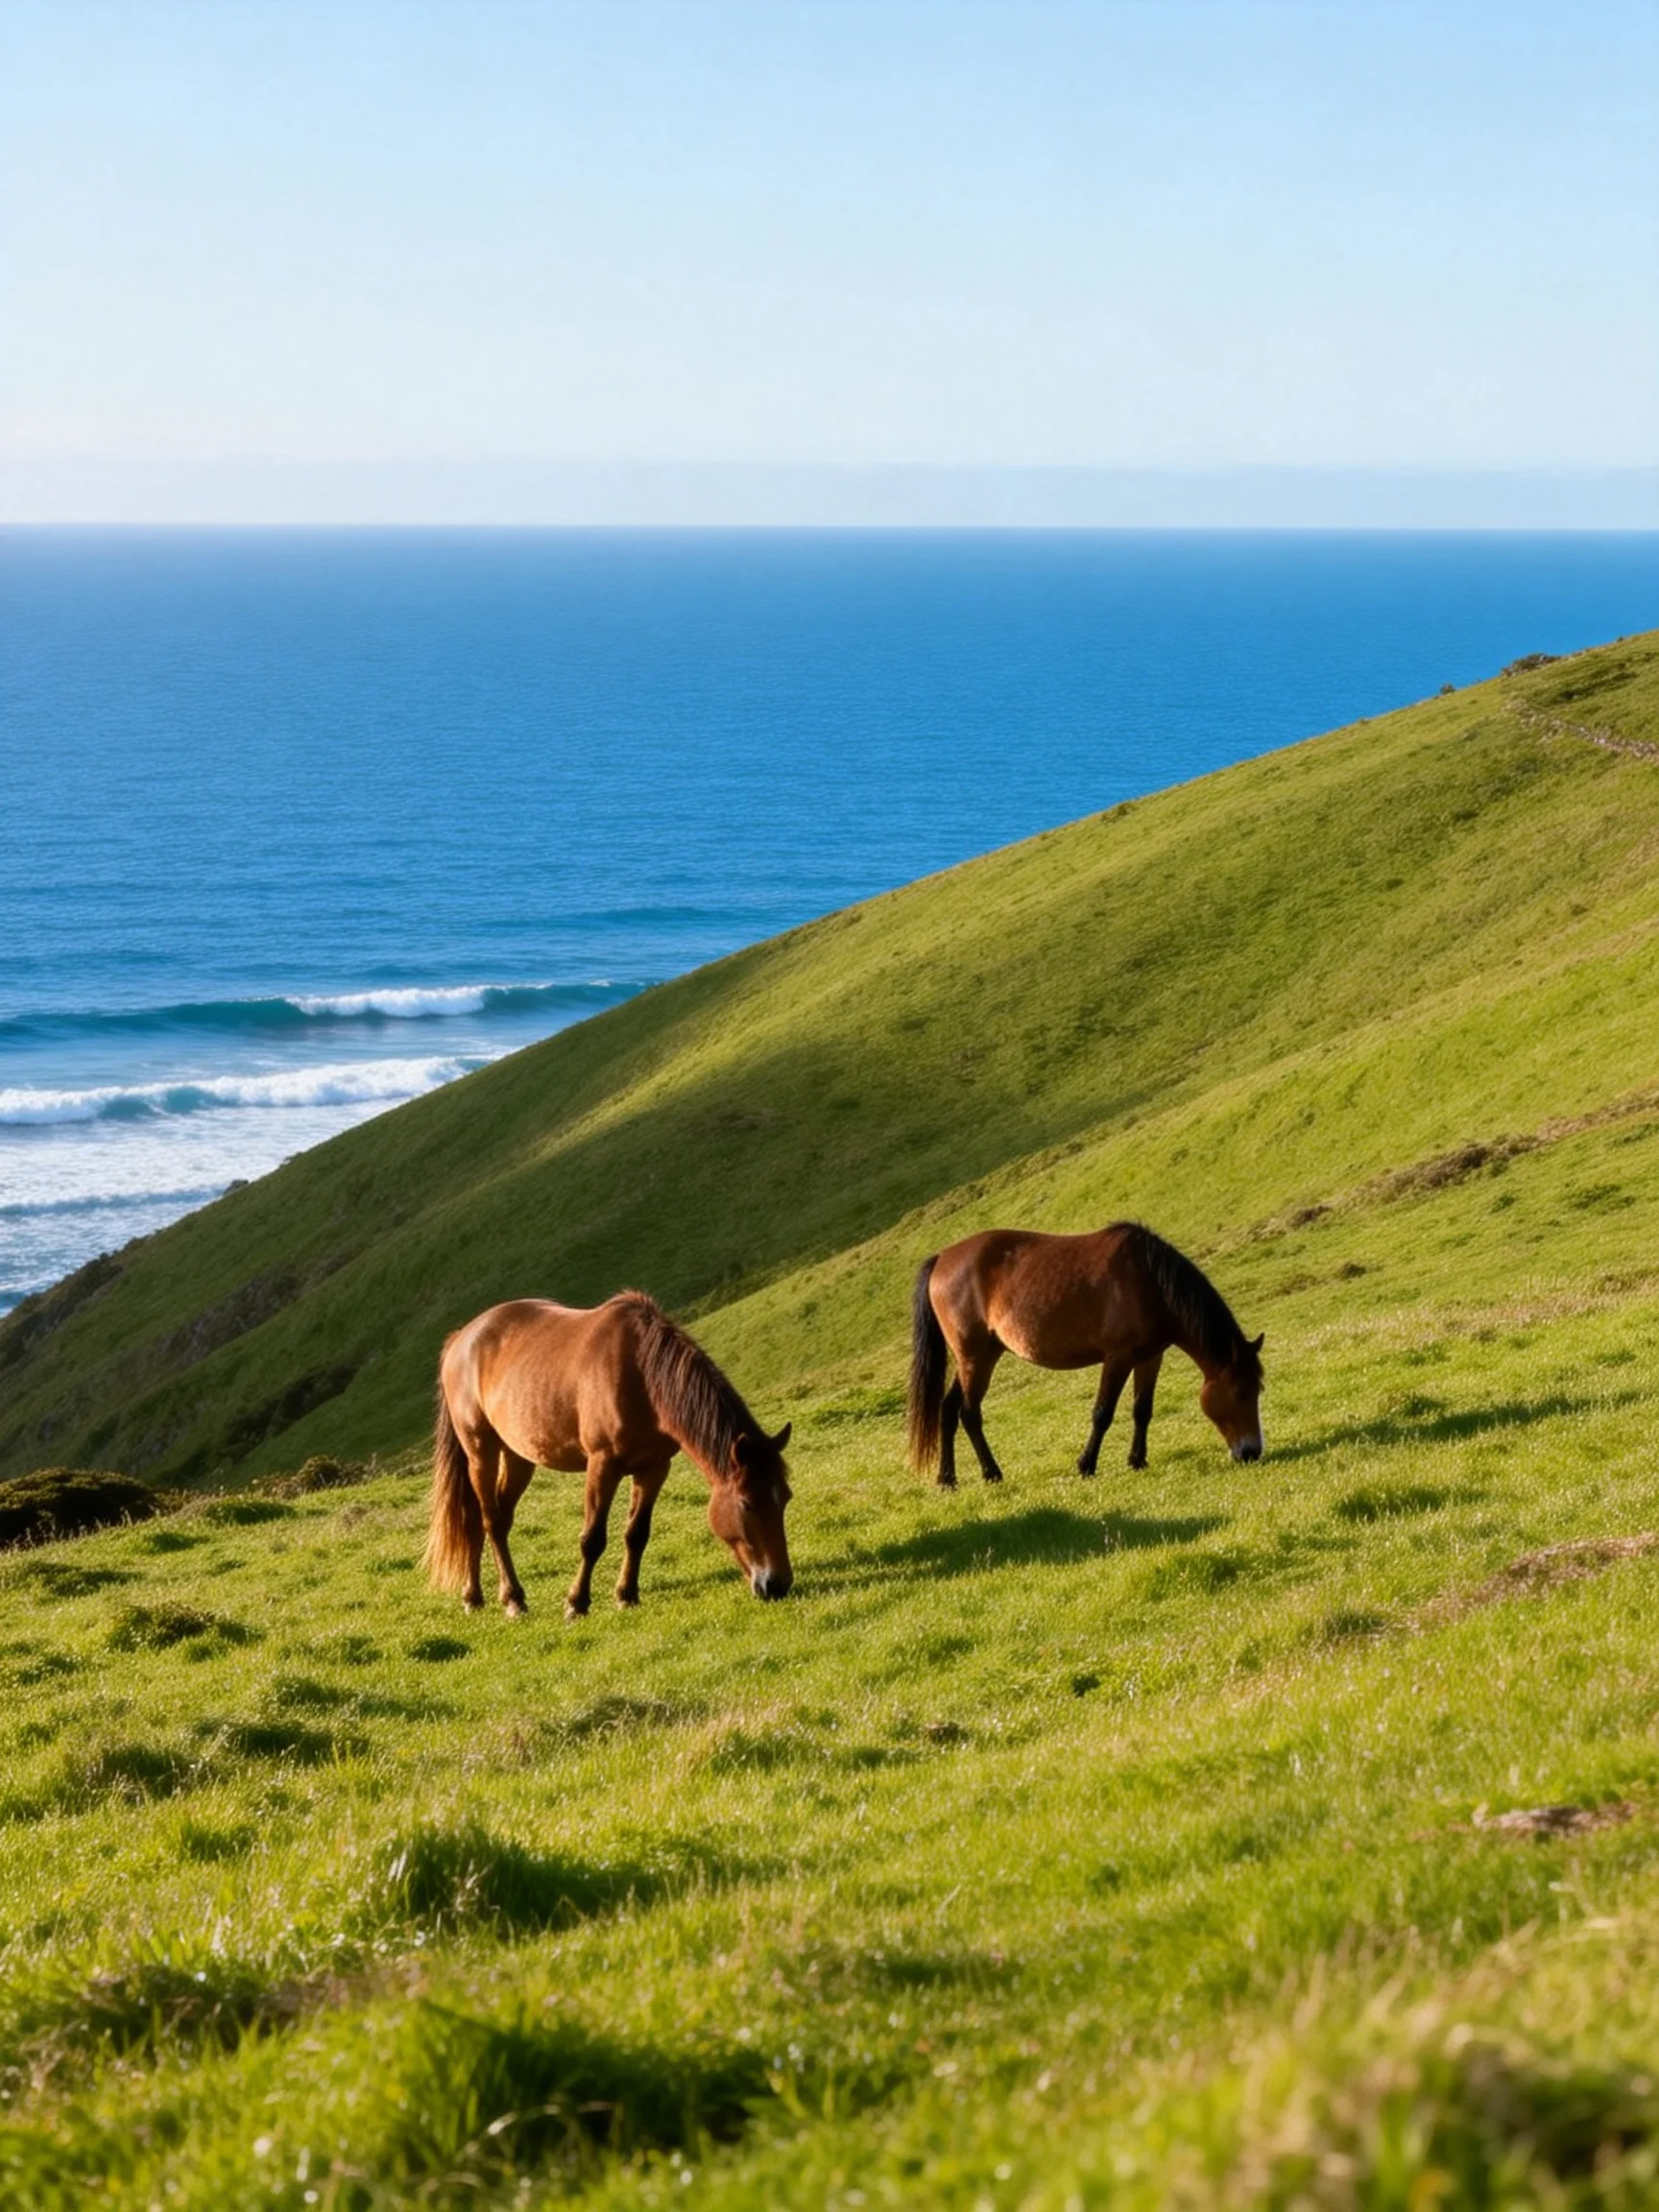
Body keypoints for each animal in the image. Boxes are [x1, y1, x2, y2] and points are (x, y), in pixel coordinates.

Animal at [426, 1290, 794, 1619]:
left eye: (785, 1498)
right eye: (747, 1503)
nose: (777, 1585)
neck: (642, 1374)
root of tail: (461, 1338)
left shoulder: (654, 1468)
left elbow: (636, 1534)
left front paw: (626, 1595)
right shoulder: (602, 1464)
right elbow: (592, 1539)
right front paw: (577, 1603)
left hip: (519, 1456)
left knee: (489, 1521)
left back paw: (481, 1597)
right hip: (481, 1451)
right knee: (489, 1520)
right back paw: (508, 1599)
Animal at [908, 1221, 1264, 1486]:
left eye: (1258, 1389)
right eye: (1240, 1391)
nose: (1252, 1452)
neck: (1149, 1282)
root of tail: (941, 1258)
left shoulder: (1150, 1358)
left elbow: (1142, 1411)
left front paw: (1137, 1460)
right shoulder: (1118, 1357)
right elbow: (1102, 1413)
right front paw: (1086, 1465)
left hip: (979, 1357)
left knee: (948, 1409)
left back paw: (947, 1478)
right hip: (975, 1359)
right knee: (969, 1413)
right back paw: (991, 1473)